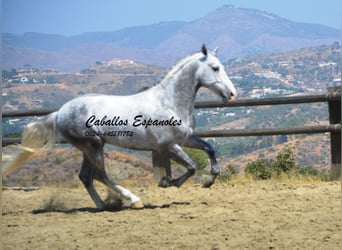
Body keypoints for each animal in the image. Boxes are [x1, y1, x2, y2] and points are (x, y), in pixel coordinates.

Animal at [2, 45, 236, 209]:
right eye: (215, 68)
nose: (232, 94)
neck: (169, 101)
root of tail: (59, 113)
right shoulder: (168, 145)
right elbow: (191, 167)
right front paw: (168, 182)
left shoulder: (185, 139)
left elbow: (209, 149)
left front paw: (209, 180)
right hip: (93, 145)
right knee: (101, 175)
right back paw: (132, 200)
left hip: (90, 147)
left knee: (86, 177)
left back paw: (102, 205)